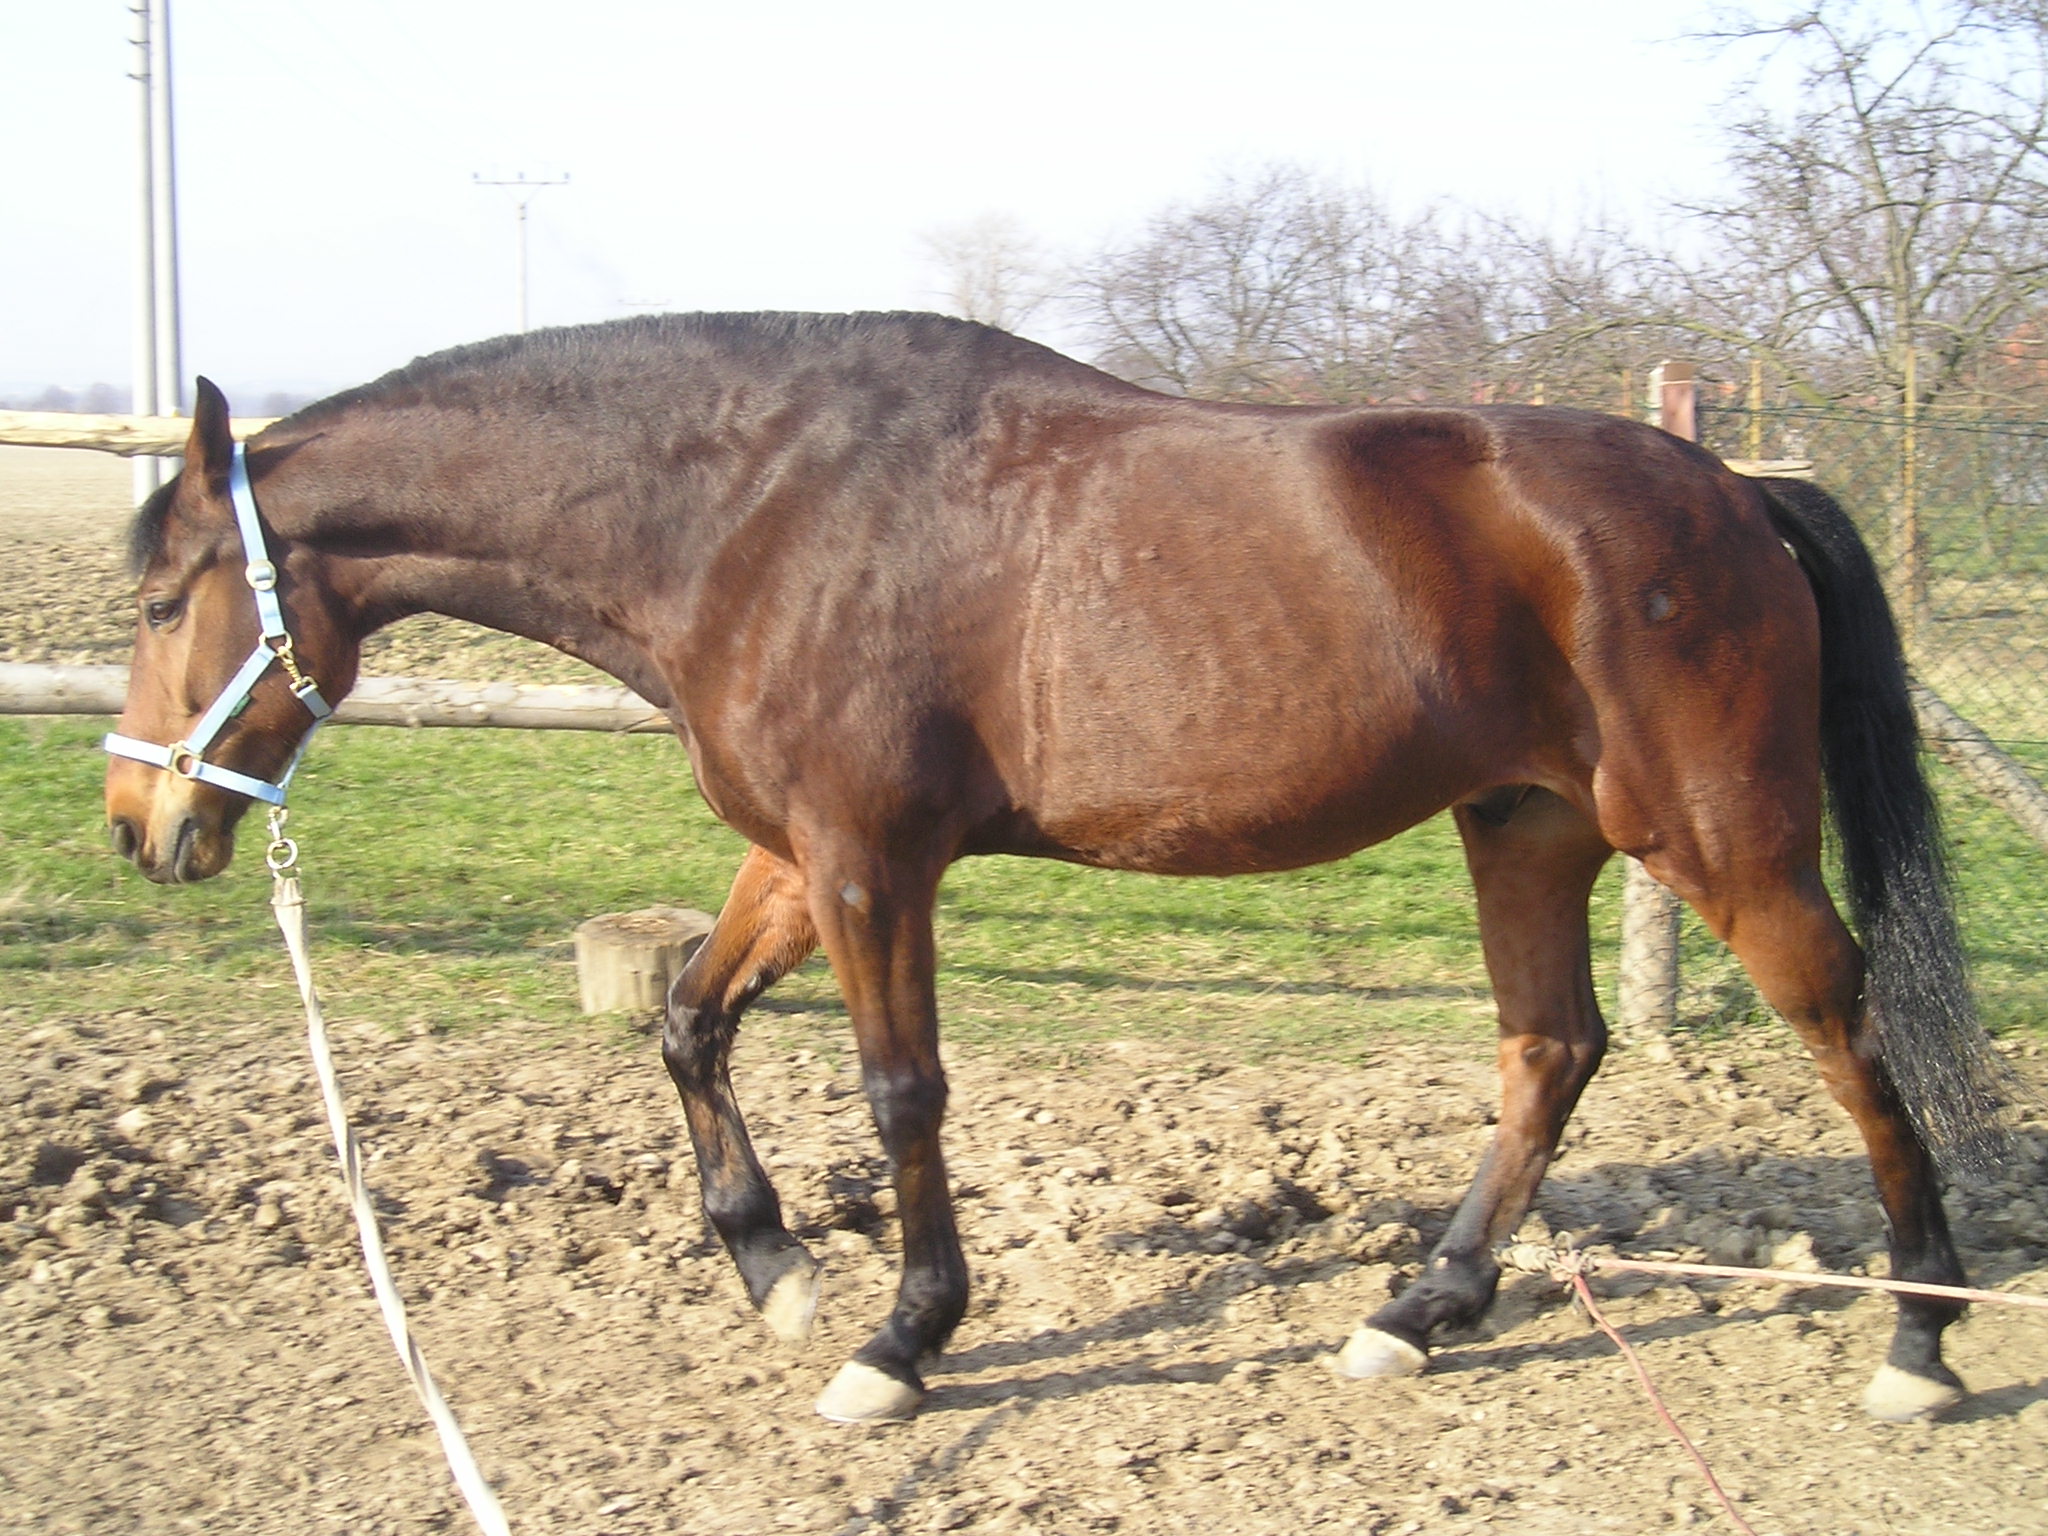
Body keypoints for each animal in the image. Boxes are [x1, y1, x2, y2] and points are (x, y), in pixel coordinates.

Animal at [103, 313, 2007, 1433]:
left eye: (158, 595)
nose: (139, 826)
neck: (751, 508)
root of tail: (1735, 488)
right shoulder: (792, 856)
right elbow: (687, 1026)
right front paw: (773, 1268)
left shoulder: (870, 863)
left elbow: (900, 1093)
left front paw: (899, 1340)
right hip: (1525, 824)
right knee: (1551, 1051)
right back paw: (1422, 1308)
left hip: (1714, 840)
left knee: (1846, 1030)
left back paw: (1919, 1338)